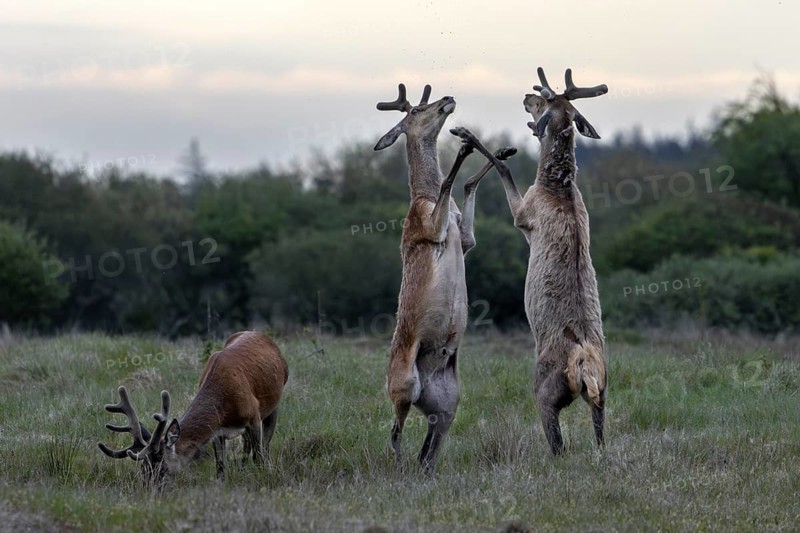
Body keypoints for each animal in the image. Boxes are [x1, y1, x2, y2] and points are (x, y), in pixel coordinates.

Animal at [98, 331, 288, 484]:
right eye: (143, 468)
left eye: (162, 467)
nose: (148, 487)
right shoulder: (217, 431)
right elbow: (220, 465)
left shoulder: (254, 417)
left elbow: (259, 455)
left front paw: (263, 476)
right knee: (247, 445)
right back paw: (242, 468)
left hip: (274, 405)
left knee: (265, 445)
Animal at [374, 83, 516, 473]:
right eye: (412, 111)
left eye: (426, 99)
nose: (447, 99)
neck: (419, 197)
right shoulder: (430, 227)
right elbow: (449, 183)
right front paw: (465, 145)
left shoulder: (465, 239)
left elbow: (465, 186)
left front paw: (501, 149)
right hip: (403, 385)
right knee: (394, 432)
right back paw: (398, 468)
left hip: (449, 402)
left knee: (429, 445)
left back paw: (423, 470)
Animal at [458, 67, 609, 456]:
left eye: (543, 99)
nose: (526, 96)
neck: (558, 186)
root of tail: (585, 368)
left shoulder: (525, 213)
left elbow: (502, 170)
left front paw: (468, 134)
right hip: (604, 393)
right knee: (601, 439)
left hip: (545, 390)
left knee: (558, 446)